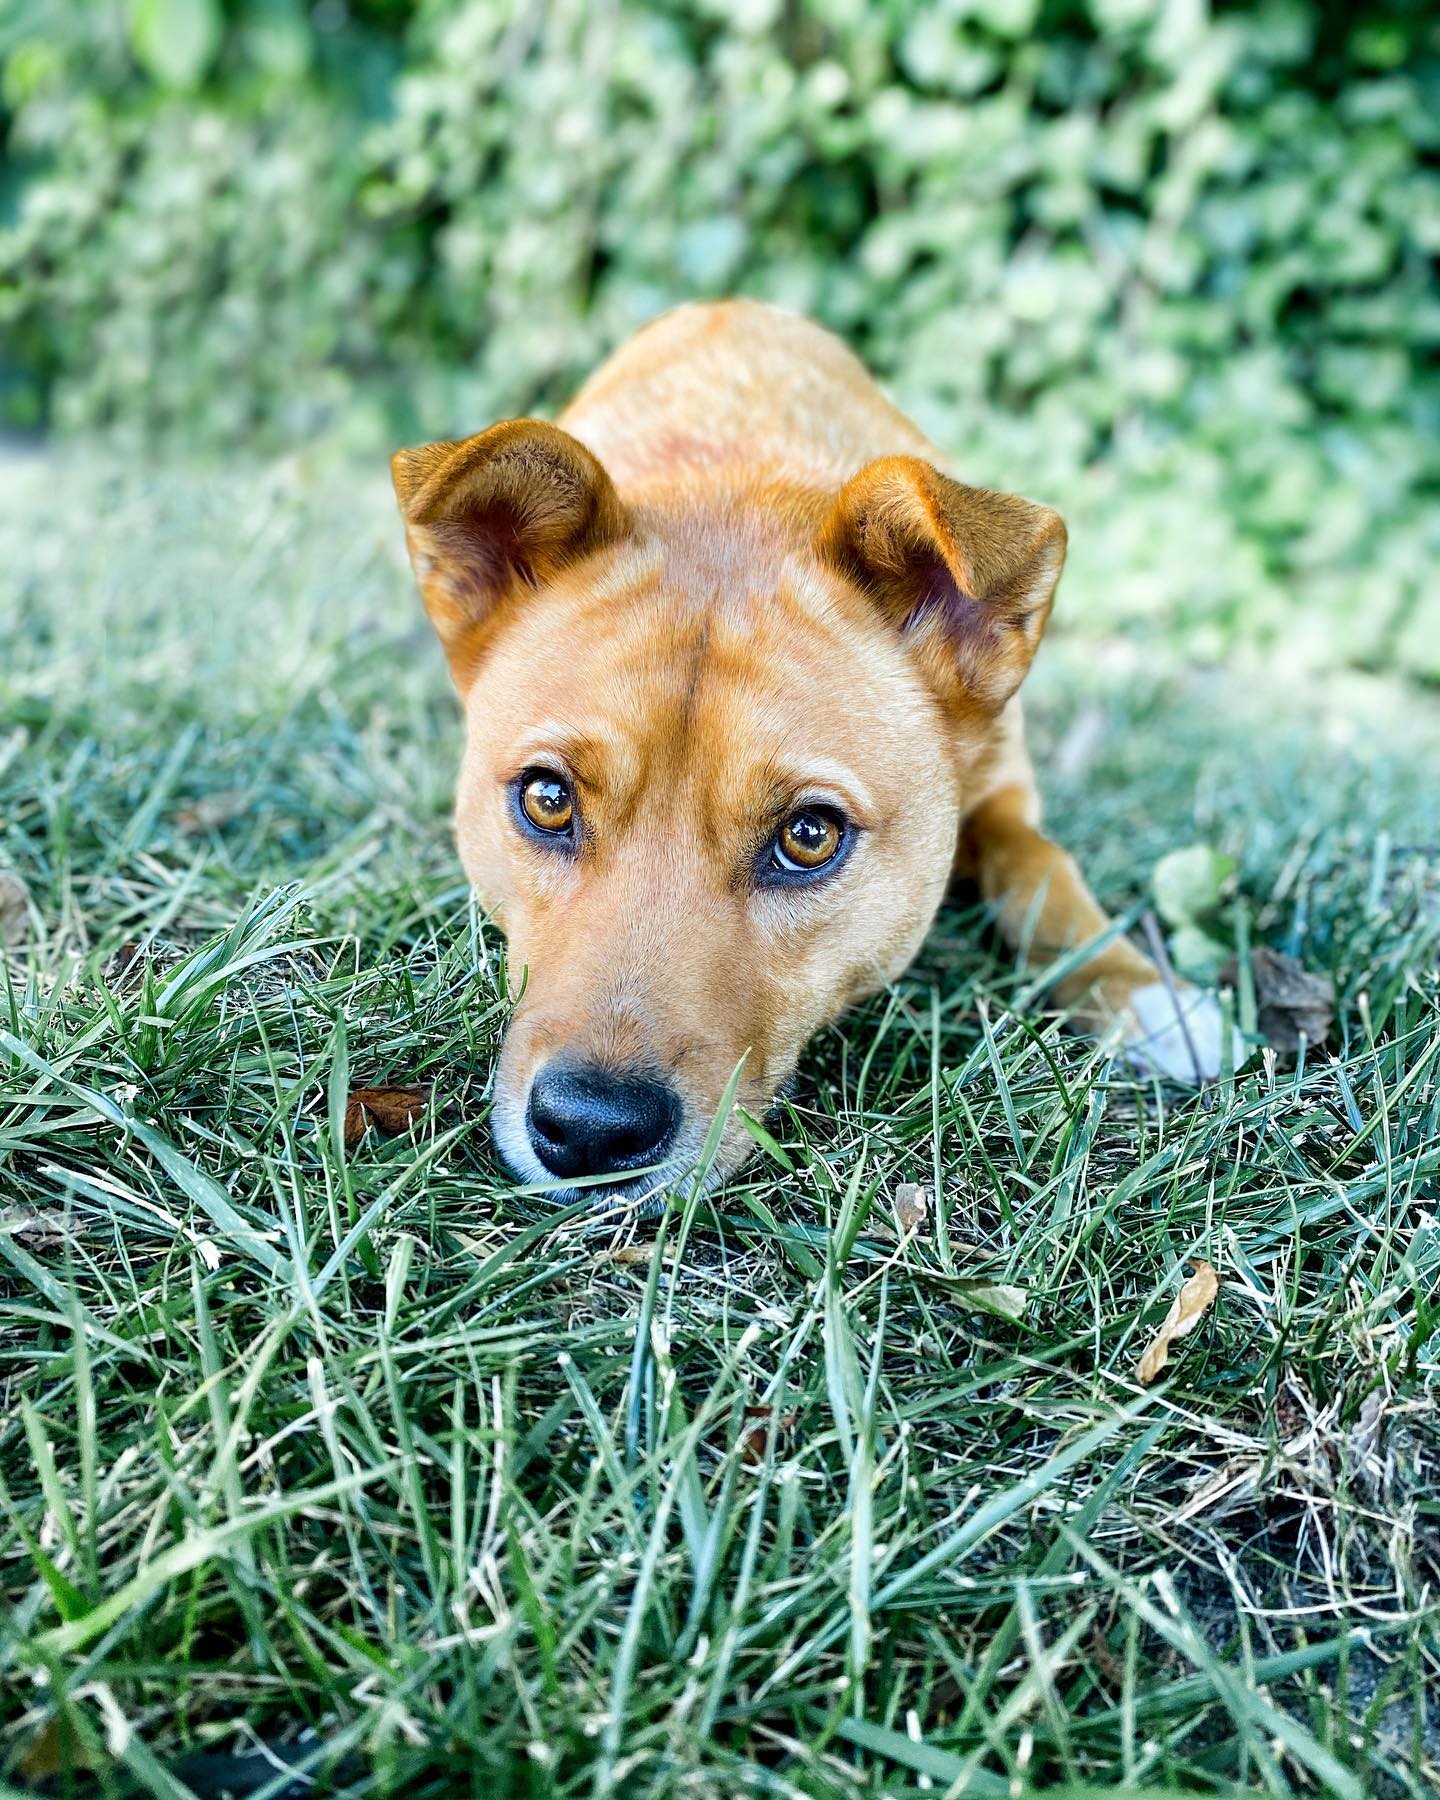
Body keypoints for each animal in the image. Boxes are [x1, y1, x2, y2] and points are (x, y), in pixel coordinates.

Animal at [390, 302, 1238, 1202]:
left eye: (808, 836)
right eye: (547, 800)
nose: (590, 1131)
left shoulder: (1006, 787)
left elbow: (1043, 866)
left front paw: (1143, 992)